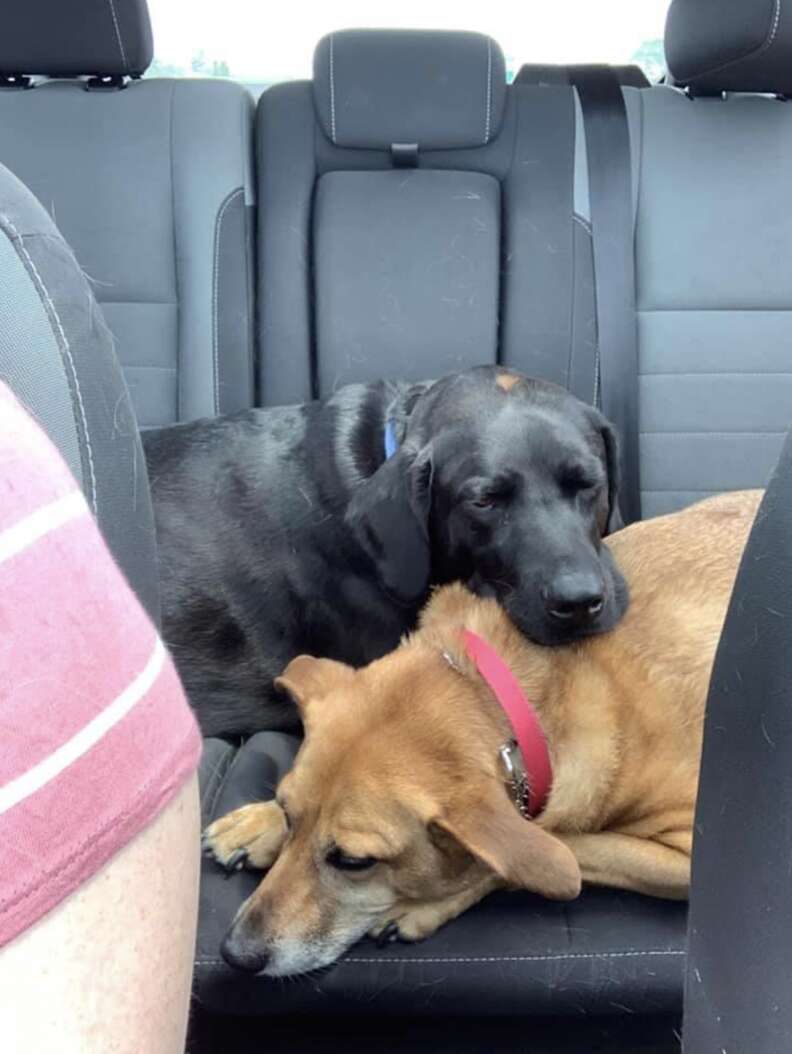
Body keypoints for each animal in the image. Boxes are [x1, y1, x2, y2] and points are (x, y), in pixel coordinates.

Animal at [204, 489, 763, 973]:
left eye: (355, 861)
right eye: (289, 813)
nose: (234, 954)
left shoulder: (691, 853)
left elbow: (553, 851)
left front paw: (428, 903)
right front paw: (259, 823)